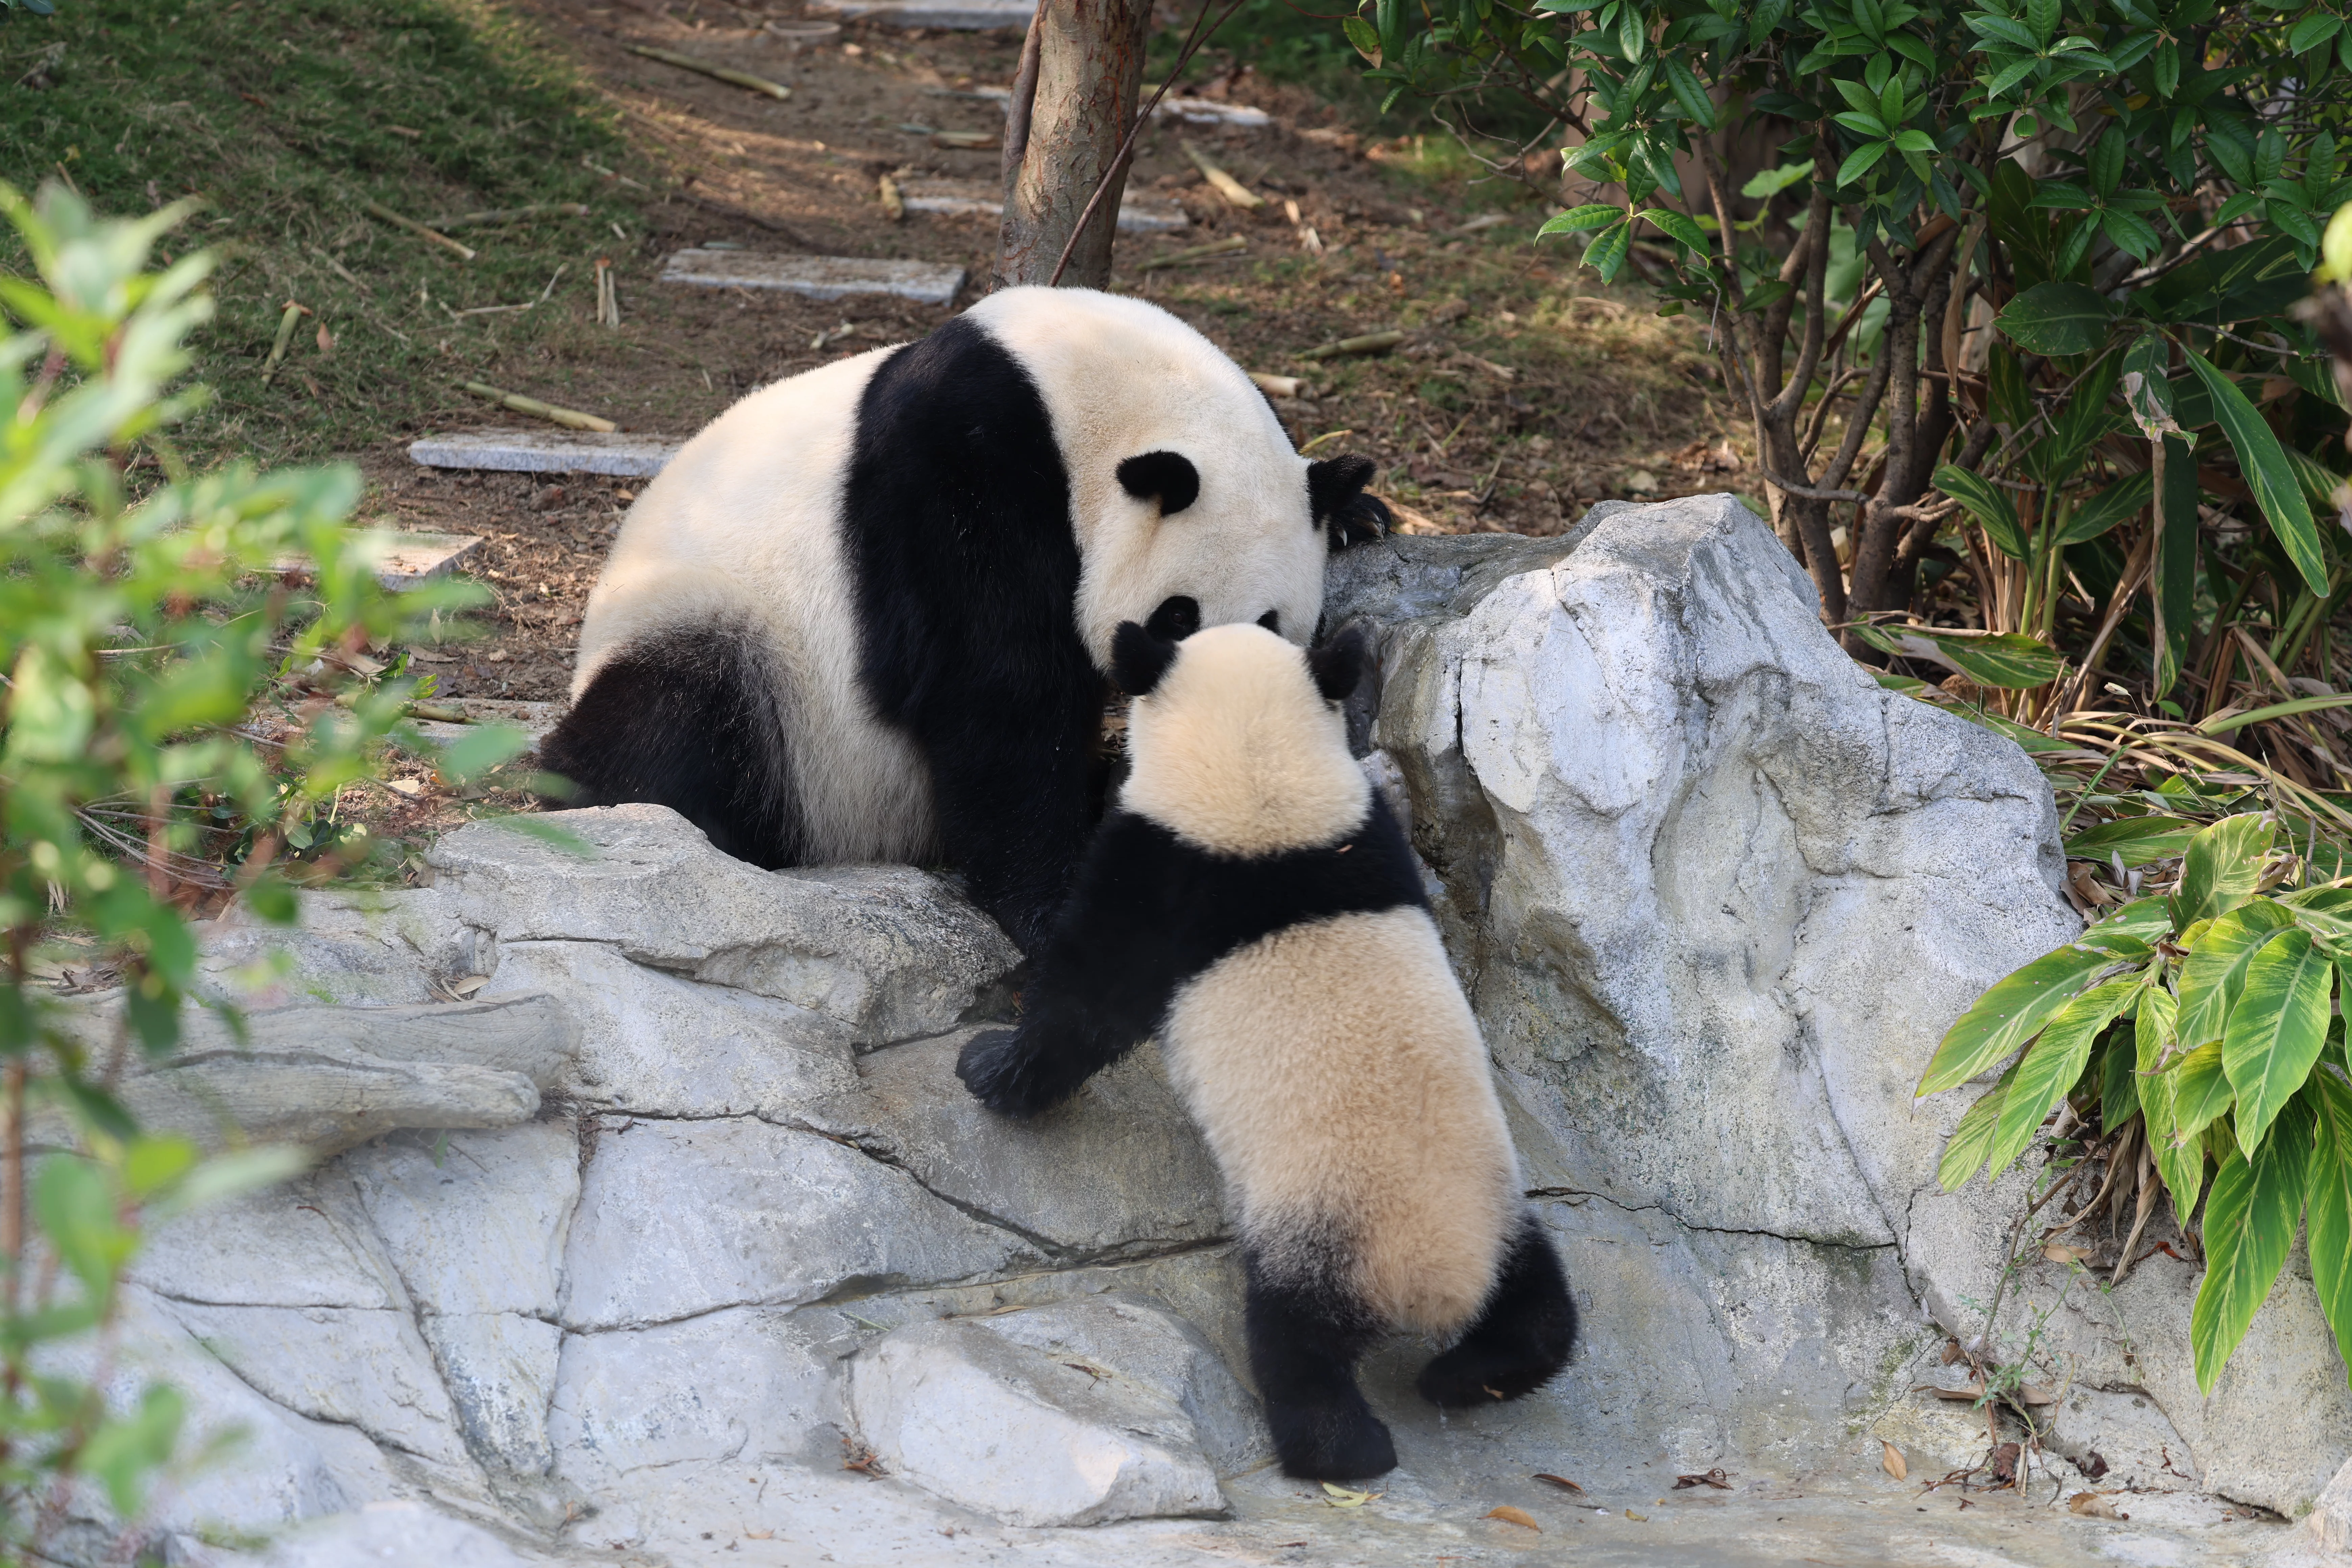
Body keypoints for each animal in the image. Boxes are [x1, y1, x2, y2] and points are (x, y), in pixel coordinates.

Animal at [539, 287, 1389, 955]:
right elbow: (997, 690)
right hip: (741, 647)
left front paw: (1363, 514)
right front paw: (1054, 905)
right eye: (1178, 616)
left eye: (1272, 624)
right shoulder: (958, 474)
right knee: (674, 730)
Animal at [953, 618, 1577, 1480]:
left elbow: (1089, 997)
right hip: (1499, 1209)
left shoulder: (1165, 873)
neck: (1265, 793)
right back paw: (1464, 1375)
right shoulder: (1369, 838)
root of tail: (1433, 1278)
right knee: (1540, 1306)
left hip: (1316, 1232)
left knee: (1294, 1343)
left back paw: (1343, 1448)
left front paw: (990, 1067)